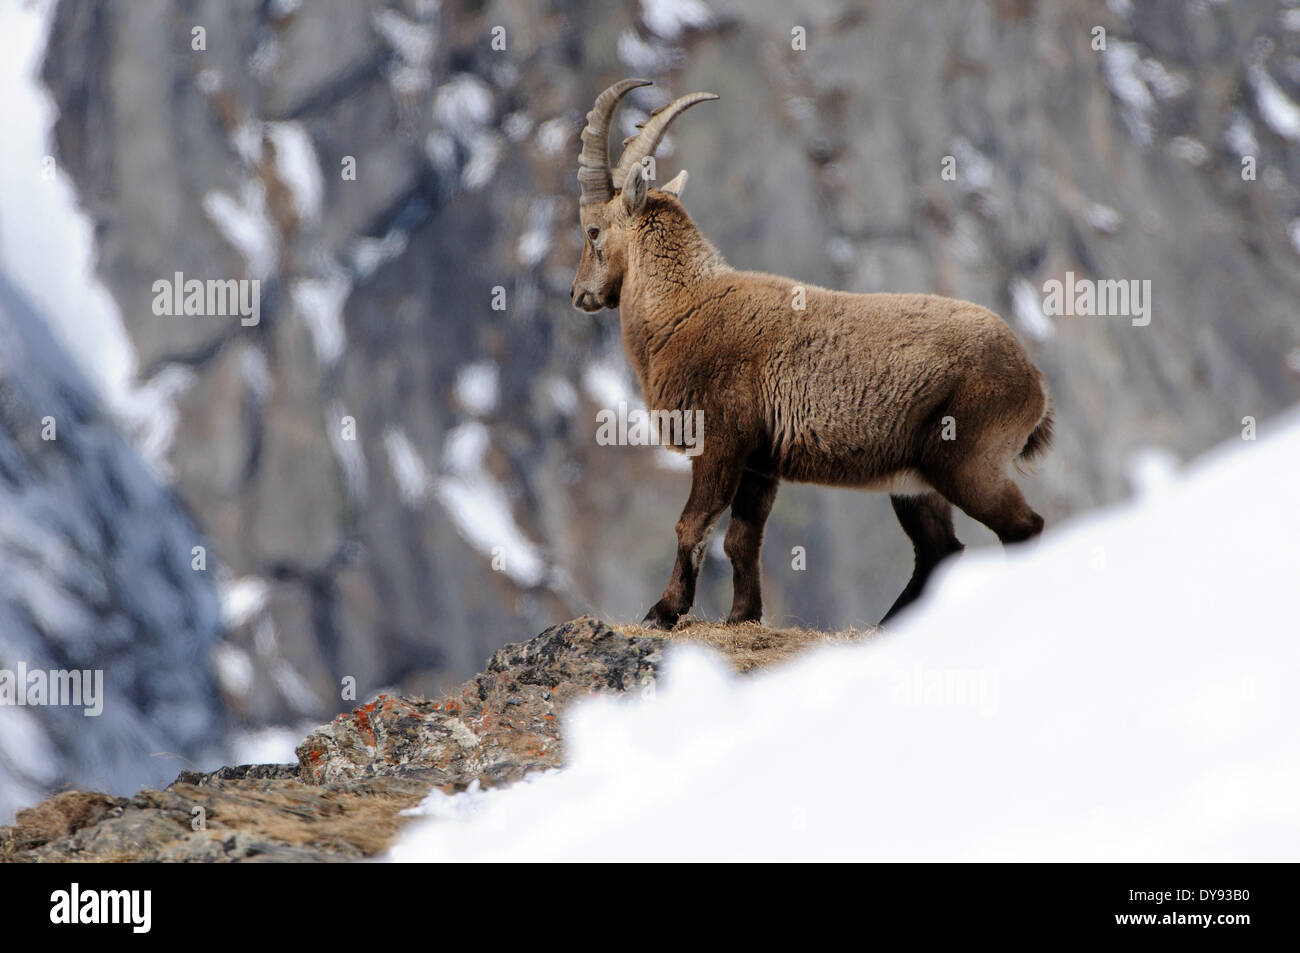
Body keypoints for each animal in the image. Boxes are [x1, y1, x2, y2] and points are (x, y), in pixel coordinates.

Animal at [571, 78, 1054, 629]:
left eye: (592, 230)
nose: (580, 294)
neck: (683, 305)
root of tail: (1033, 379)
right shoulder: (760, 463)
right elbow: (742, 540)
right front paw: (742, 616)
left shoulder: (720, 441)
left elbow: (692, 526)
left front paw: (664, 611)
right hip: (917, 482)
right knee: (939, 551)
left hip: (969, 459)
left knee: (1023, 528)